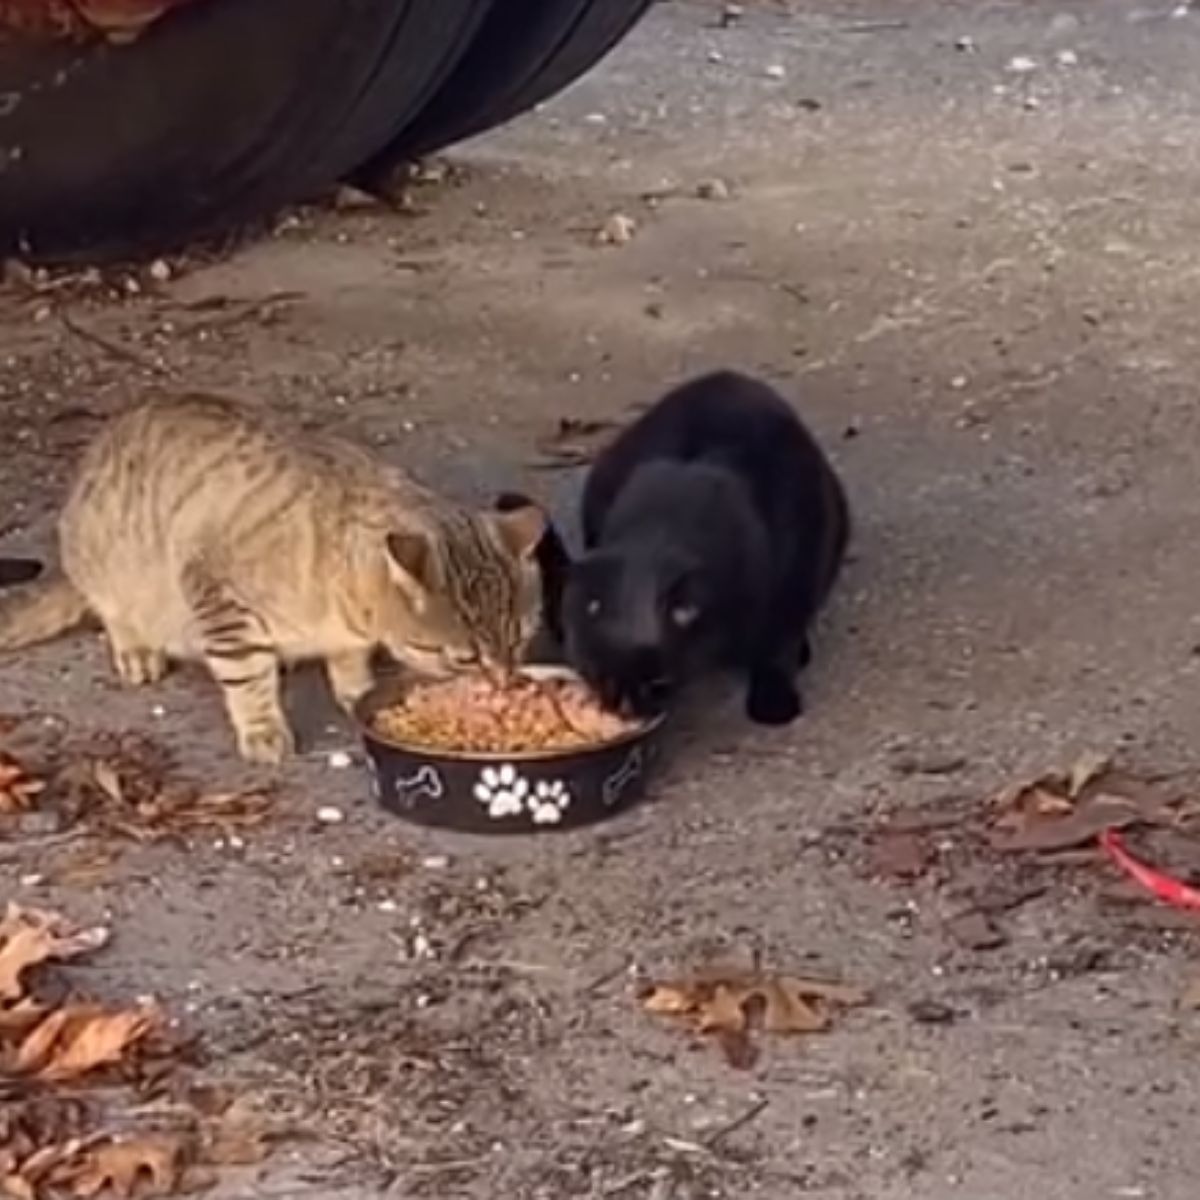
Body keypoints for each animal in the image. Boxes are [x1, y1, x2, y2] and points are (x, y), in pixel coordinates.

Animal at [0, 398, 547, 763]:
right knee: (113, 612)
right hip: (112, 567)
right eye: (466, 659)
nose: (506, 682)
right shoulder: (220, 598)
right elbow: (247, 676)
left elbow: (349, 660)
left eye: (521, 637)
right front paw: (263, 728)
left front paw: (356, 689)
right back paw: (137, 649)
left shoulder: (346, 636)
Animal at [556, 367, 849, 720]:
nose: (627, 709)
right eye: (602, 679)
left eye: (657, 685)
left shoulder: (799, 563)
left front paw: (773, 701)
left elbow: (780, 640)